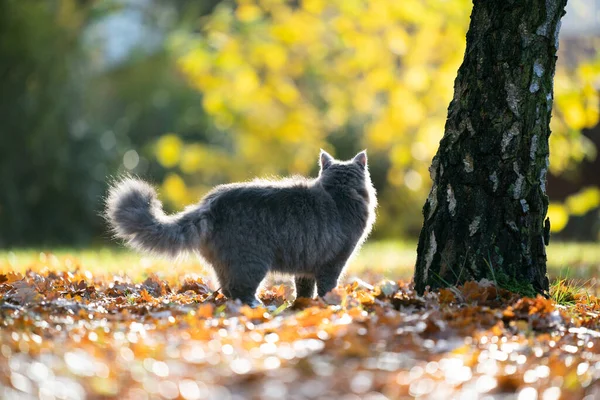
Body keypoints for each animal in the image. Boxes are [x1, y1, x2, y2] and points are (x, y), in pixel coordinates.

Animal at [103, 149, 376, 304]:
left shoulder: (306, 266)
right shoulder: (333, 263)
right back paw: (257, 306)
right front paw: (331, 304)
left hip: (226, 264)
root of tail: (209, 204)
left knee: (227, 290)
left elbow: (304, 289)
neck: (339, 194)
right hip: (252, 263)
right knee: (240, 291)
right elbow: (328, 288)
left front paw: (303, 305)